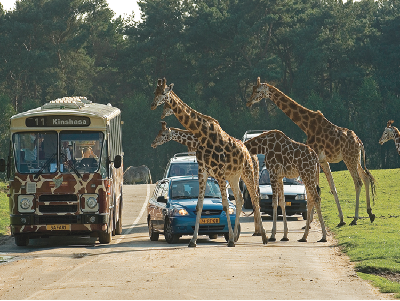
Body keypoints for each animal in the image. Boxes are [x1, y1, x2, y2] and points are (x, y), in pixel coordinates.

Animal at [151, 78, 268, 246]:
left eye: (162, 93)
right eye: (154, 92)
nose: (153, 105)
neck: (201, 134)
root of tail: (247, 152)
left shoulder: (218, 172)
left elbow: (225, 205)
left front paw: (230, 239)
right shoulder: (203, 171)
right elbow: (199, 205)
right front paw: (193, 240)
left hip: (247, 171)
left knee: (254, 197)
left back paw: (263, 235)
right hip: (234, 176)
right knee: (239, 198)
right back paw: (239, 235)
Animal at [247, 77, 376, 225]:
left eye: (257, 91)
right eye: (252, 89)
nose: (248, 102)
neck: (307, 125)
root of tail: (359, 142)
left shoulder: (315, 159)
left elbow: (315, 190)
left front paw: (309, 222)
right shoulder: (323, 160)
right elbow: (332, 188)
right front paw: (341, 219)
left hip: (349, 158)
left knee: (358, 182)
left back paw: (355, 218)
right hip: (356, 159)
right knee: (366, 178)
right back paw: (370, 213)